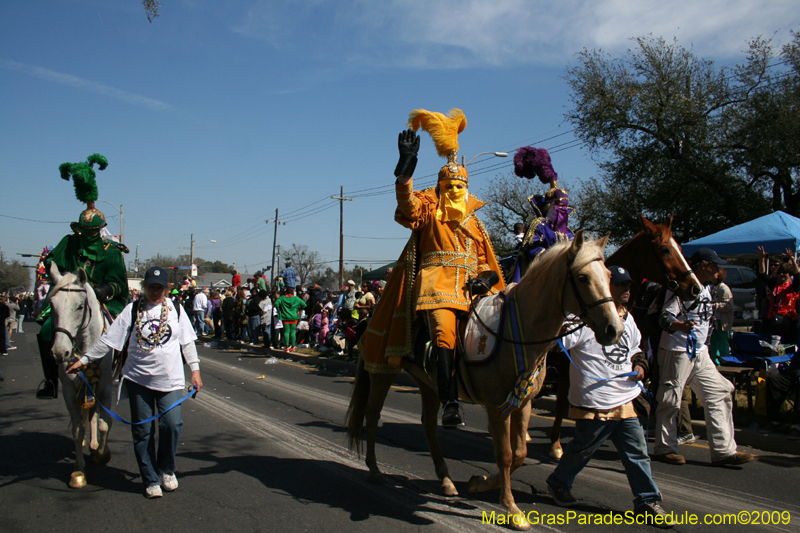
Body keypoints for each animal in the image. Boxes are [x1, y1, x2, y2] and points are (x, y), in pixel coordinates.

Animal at [48, 262, 113, 486]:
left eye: (79, 306)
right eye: (52, 306)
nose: (60, 352)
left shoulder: (106, 388)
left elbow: (104, 424)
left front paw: (102, 454)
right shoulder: (69, 391)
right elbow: (77, 430)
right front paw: (78, 471)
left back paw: (95, 446)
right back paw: (89, 443)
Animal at [346, 231, 620, 528]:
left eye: (608, 275)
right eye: (582, 277)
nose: (613, 329)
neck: (519, 330)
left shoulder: (523, 402)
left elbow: (520, 453)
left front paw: (480, 482)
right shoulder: (496, 407)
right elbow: (505, 454)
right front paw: (511, 509)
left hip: (429, 384)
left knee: (428, 425)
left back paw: (446, 480)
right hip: (381, 373)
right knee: (372, 416)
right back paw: (374, 470)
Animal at [548, 214, 704, 460]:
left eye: (680, 247)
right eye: (664, 249)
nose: (695, 288)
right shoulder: (565, 363)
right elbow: (564, 402)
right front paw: (556, 445)